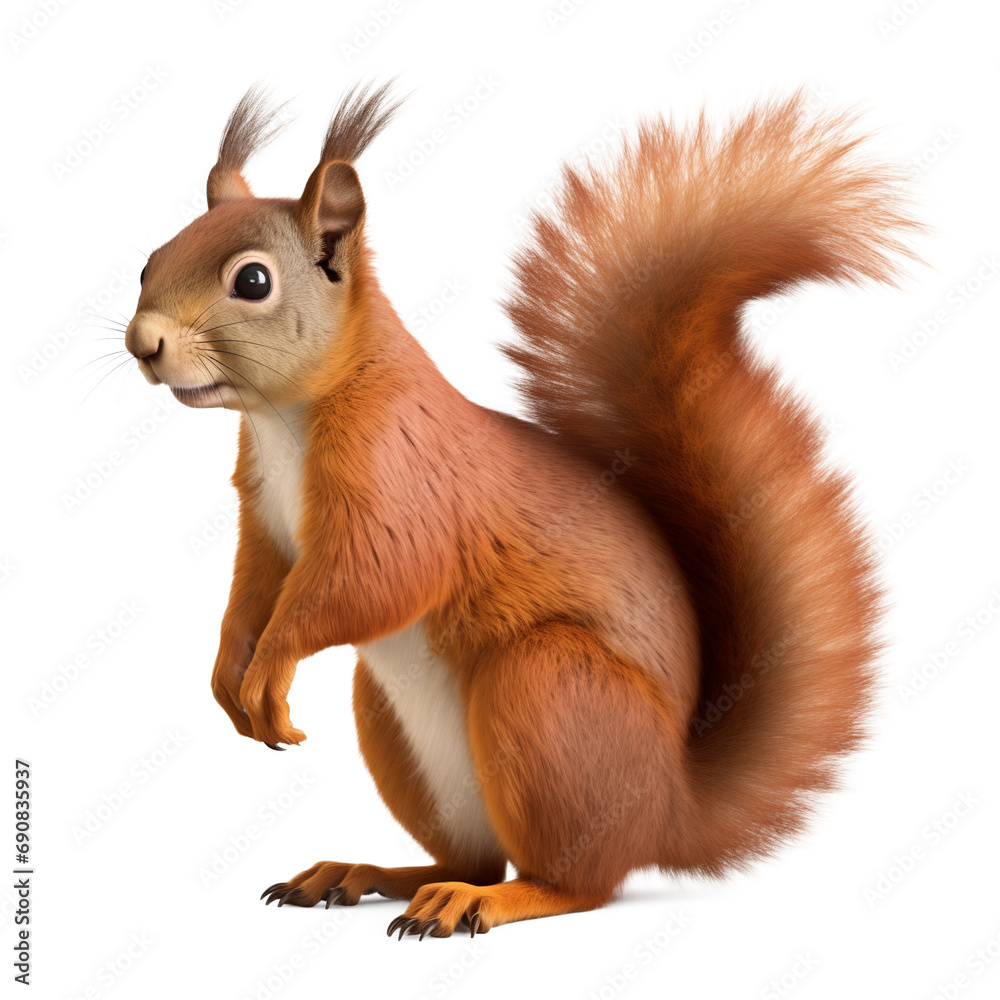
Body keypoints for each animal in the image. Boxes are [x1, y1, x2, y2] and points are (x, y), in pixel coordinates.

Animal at [124, 83, 918, 938]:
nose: (143, 342)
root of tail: (670, 809)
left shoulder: (402, 479)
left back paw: (486, 901)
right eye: (148, 260)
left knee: (575, 881)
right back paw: (371, 875)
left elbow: (370, 582)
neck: (286, 420)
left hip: (545, 689)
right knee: (470, 855)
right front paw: (228, 671)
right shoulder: (265, 519)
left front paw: (270, 669)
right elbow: (254, 590)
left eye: (252, 282)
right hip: (399, 732)